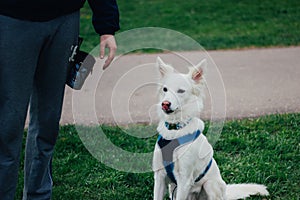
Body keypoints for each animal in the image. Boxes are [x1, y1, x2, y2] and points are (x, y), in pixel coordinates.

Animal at [152, 56, 270, 200]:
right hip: (172, 189)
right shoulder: (159, 177)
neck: (175, 129)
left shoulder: (184, 179)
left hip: (210, 184)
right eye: (165, 89)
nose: (165, 104)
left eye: (181, 91)